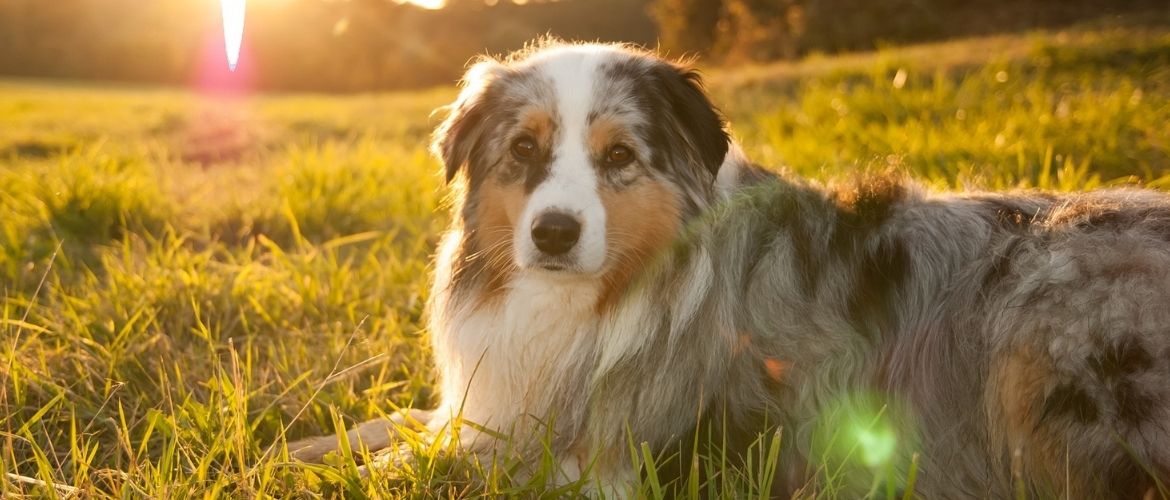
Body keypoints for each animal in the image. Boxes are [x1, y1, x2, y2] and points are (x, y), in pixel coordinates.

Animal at [290, 40, 1170, 498]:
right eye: (525, 150)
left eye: (619, 156)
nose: (554, 233)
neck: (590, 300)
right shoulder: (493, 402)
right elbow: (393, 423)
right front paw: (299, 446)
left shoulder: (615, 462)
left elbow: (435, 456)